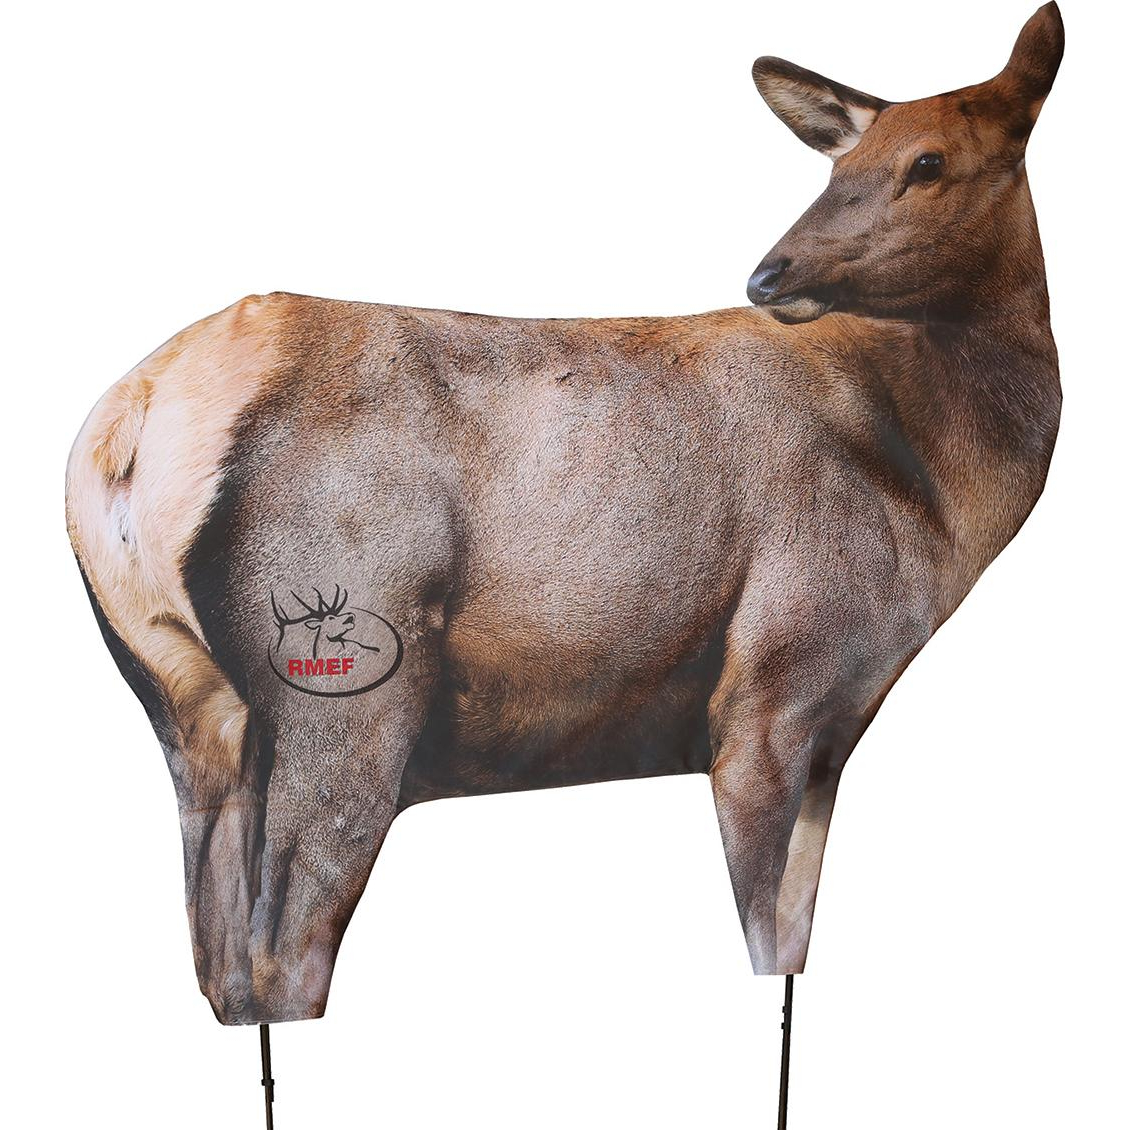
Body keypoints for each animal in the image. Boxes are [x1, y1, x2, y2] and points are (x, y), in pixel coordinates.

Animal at [66, 4, 1064, 1026]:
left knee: (219, 965)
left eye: (928, 162)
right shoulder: (770, 692)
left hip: (185, 708)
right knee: (281, 957)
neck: (938, 494)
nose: (769, 275)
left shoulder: (833, 731)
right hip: (342, 681)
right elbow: (766, 944)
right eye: (842, 165)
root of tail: (126, 424)